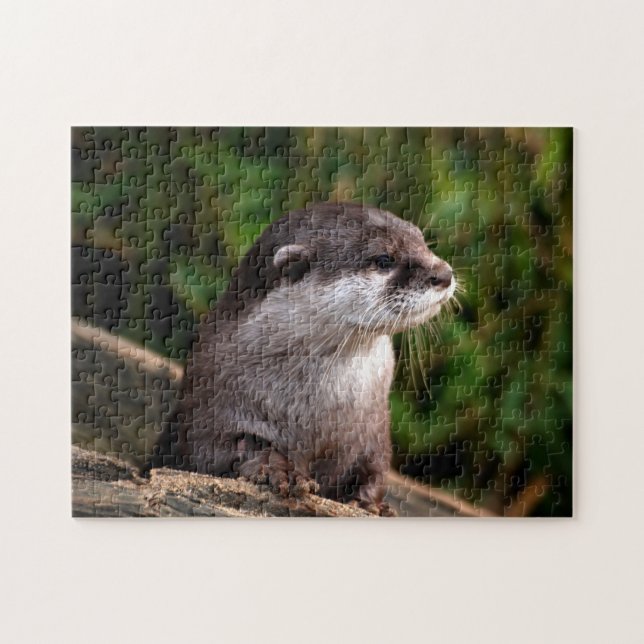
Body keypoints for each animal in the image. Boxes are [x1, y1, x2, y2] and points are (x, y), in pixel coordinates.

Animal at [184, 203, 455, 514]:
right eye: (384, 259)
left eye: (421, 240)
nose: (444, 274)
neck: (320, 412)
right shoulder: (211, 402)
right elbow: (226, 448)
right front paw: (280, 470)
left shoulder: (374, 427)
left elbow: (376, 467)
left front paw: (371, 504)